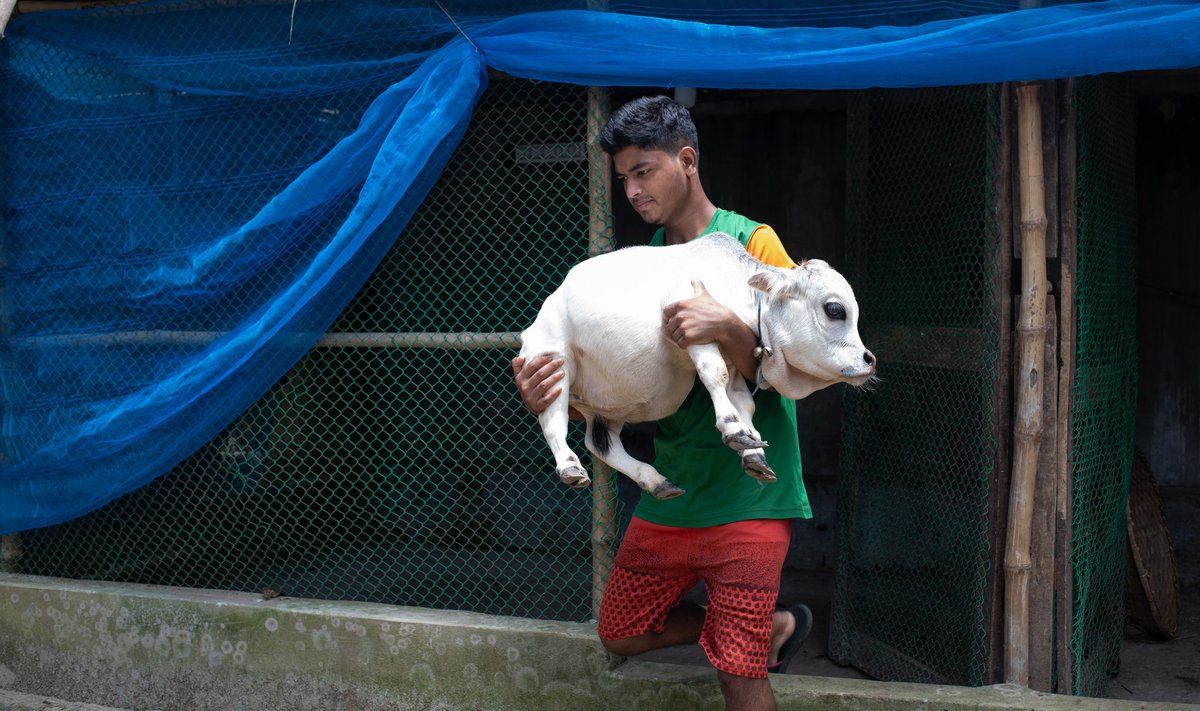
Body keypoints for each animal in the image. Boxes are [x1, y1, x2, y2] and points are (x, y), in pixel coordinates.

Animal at [520, 232, 878, 499]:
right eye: (834, 309)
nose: (868, 360)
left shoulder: (732, 355)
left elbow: (744, 401)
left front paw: (752, 446)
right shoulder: (695, 334)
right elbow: (713, 374)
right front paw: (734, 428)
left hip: (608, 409)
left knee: (599, 443)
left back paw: (656, 481)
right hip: (552, 363)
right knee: (554, 423)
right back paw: (570, 465)